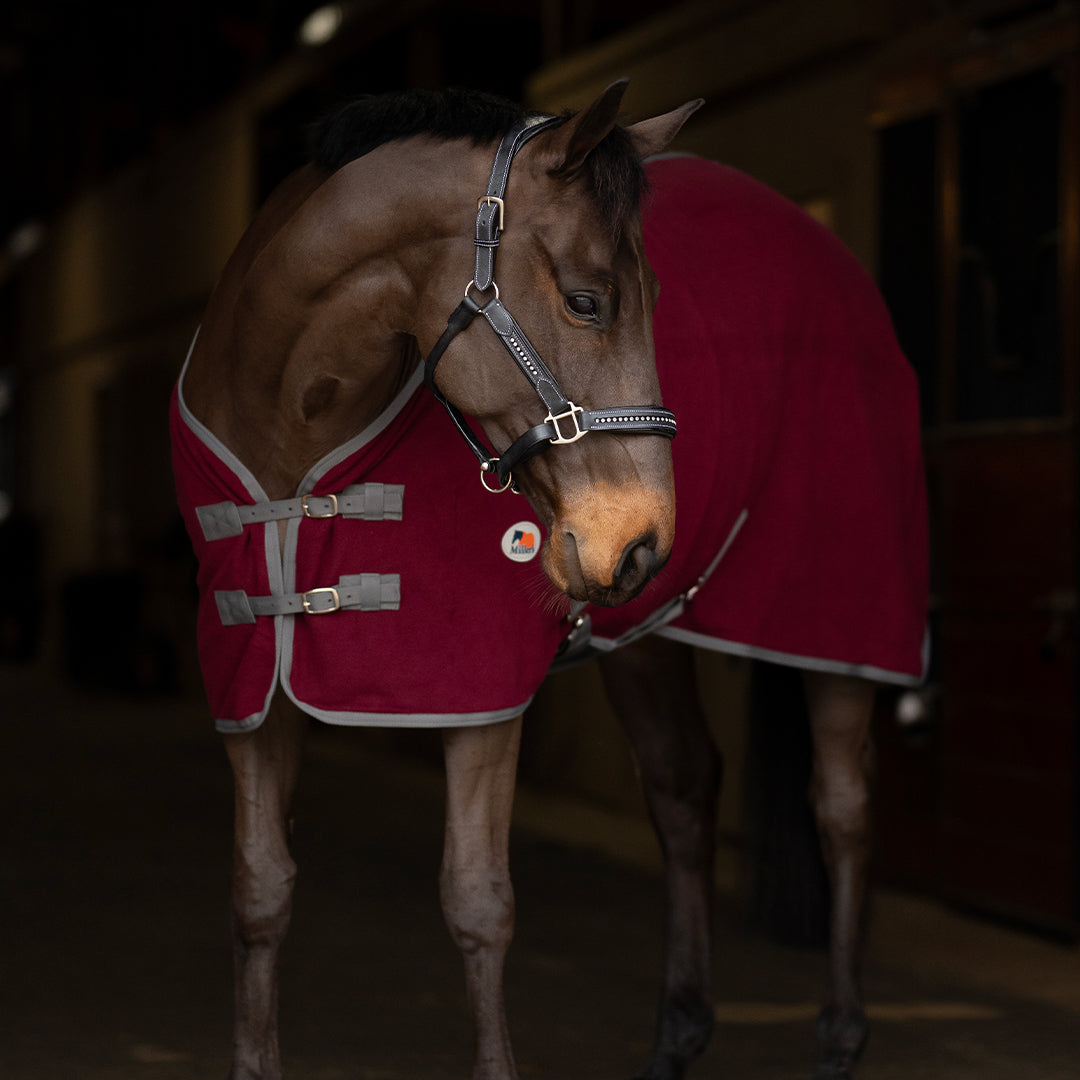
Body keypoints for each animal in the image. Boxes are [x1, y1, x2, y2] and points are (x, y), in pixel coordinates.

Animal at [171, 80, 927, 1080]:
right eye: (586, 300)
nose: (641, 539)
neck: (294, 433)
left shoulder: (473, 691)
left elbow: (478, 905)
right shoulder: (254, 682)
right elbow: (260, 892)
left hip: (835, 611)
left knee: (842, 806)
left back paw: (840, 1036)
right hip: (644, 633)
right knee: (685, 790)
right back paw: (679, 1035)